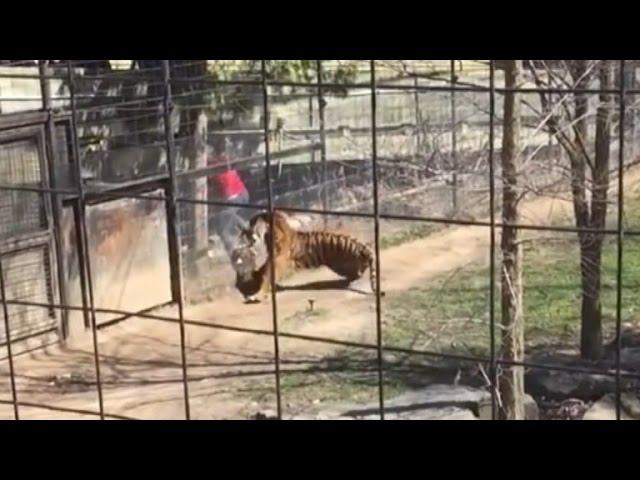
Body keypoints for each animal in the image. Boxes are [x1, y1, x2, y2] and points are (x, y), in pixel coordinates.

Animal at [238, 208, 382, 302]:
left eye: (252, 224)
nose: (245, 233)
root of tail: (362, 246)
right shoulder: (272, 258)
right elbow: (263, 270)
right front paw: (255, 276)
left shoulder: (278, 261)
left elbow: (267, 276)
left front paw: (257, 295)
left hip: (343, 265)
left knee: (358, 272)